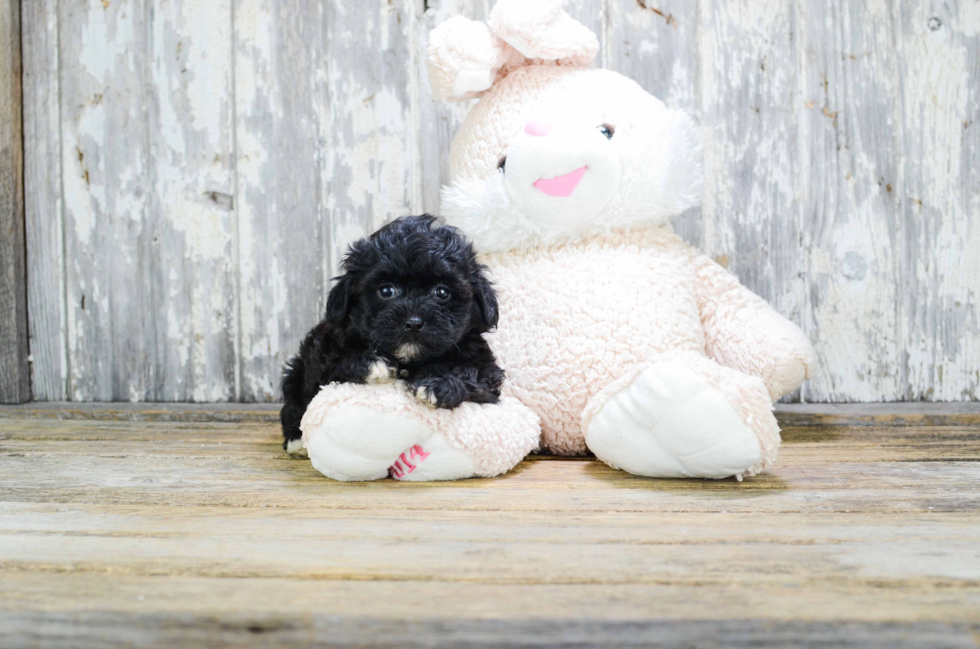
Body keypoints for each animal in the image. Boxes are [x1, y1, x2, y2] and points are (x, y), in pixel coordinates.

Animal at [278, 215, 502, 454]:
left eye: (442, 292)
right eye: (386, 291)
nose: (413, 322)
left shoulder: (486, 370)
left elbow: (471, 373)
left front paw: (438, 384)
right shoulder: (323, 354)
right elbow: (334, 364)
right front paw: (371, 362)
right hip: (296, 374)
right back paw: (296, 441)